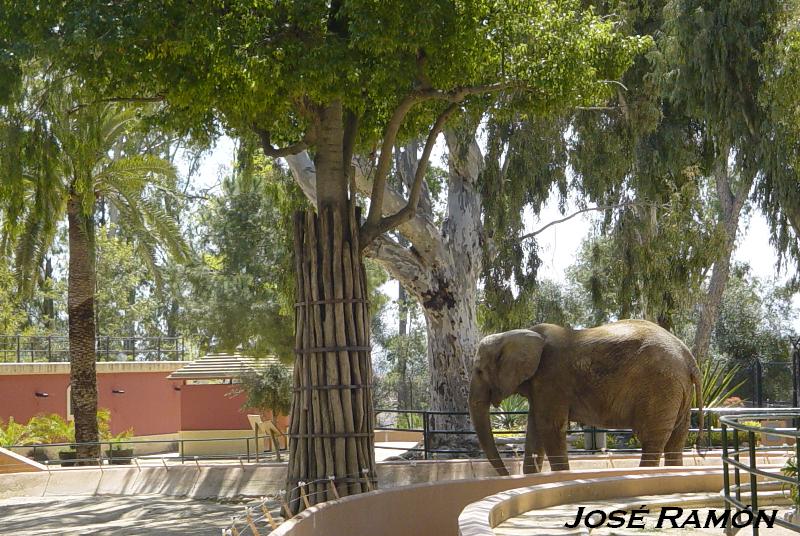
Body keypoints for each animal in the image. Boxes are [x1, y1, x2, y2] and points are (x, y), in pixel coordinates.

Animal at [466, 318, 704, 474]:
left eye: (479, 371)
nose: (506, 474)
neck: (520, 334)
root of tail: (689, 357)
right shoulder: (541, 386)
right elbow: (534, 430)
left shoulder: (552, 378)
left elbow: (549, 427)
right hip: (678, 389)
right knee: (675, 441)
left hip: (661, 386)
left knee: (652, 440)